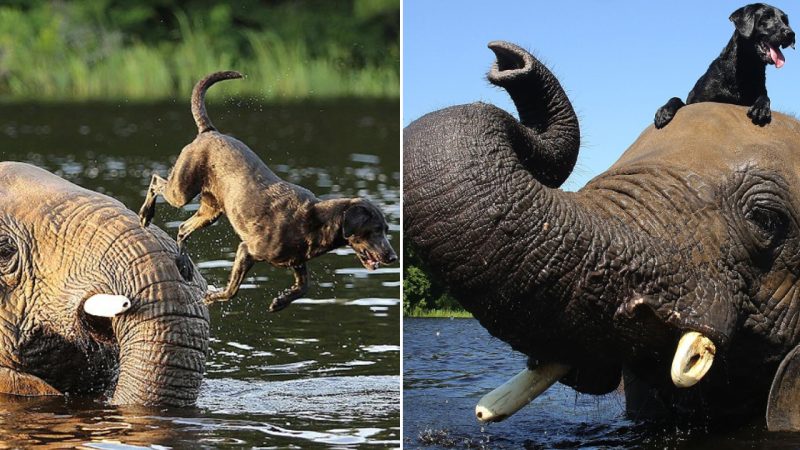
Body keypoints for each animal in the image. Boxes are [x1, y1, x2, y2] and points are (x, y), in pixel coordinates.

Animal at [141, 72, 400, 314]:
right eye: (375, 229)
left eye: (387, 229)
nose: (393, 258)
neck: (315, 221)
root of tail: (208, 132)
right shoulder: (247, 250)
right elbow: (233, 289)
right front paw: (212, 297)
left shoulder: (297, 262)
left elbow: (304, 286)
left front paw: (280, 302)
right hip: (182, 190)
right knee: (155, 181)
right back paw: (145, 215)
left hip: (211, 211)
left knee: (183, 228)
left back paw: (183, 264)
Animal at [656, 4, 792, 128]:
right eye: (766, 17)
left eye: (785, 21)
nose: (791, 33)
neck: (745, 69)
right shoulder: (697, 101)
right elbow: (676, 98)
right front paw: (664, 111)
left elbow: (765, 97)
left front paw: (761, 109)